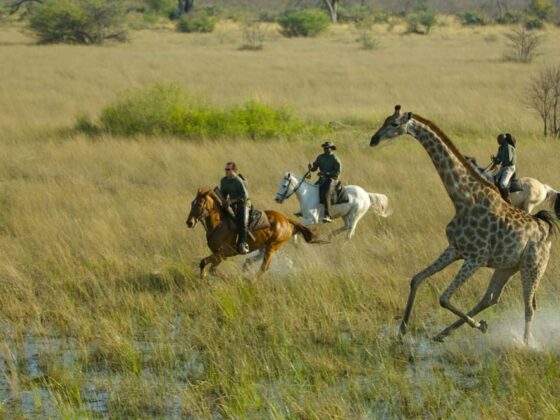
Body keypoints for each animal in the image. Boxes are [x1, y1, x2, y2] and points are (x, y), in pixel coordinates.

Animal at [186, 189, 320, 278]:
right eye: (192, 203)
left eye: (199, 204)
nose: (189, 222)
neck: (219, 225)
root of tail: (286, 220)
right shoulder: (219, 256)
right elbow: (210, 267)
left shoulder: (222, 254)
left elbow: (204, 263)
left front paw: (205, 276)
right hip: (264, 247)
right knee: (250, 262)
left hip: (272, 246)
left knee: (264, 267)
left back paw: (252, 281)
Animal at [370, 105, 556, 344]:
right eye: (385, 120)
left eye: (394, 124)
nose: (374, 139)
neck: (462, 200)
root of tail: (547, 230)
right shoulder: (455, 249)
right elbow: (417, 279)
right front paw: (402, 328)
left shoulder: (476, 258)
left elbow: (443, 298)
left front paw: (479, 325)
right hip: (508, 266)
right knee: (491, 298)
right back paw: (443, 333)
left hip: (533, 266)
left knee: (529, 306)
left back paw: (525, 343)